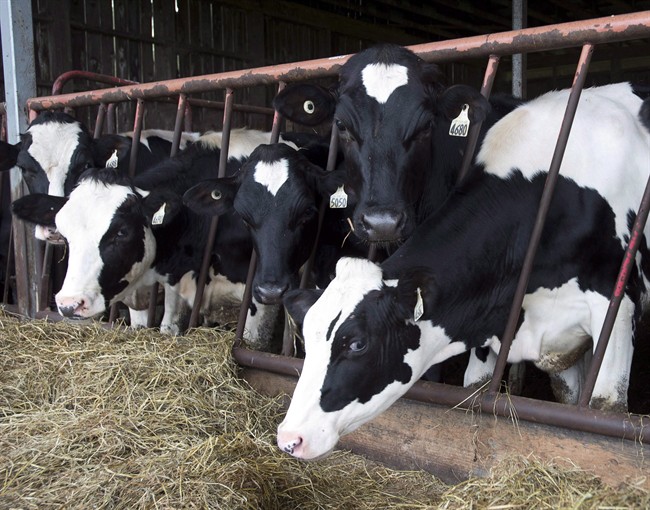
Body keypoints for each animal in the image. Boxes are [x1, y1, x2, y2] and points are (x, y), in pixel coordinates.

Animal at [11, 130, 289, 344]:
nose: (69, 304)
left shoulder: (262, 294)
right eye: (66, 234)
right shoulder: (166, 283)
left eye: (122, 232)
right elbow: (164, 327)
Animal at [276, 84, 650, 460]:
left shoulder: (617, 309)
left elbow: (603, 406)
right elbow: (484, 387)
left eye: (356, 343)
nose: (290, 437)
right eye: (307, 337)